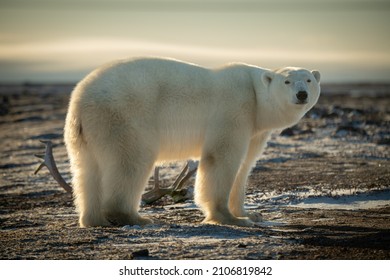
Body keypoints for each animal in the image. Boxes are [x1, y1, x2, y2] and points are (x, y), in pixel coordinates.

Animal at [63, 57, 320, 228]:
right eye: (287, 82)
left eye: (308, 79)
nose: (302, 94)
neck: (256, 96)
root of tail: (79, 100)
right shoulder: (235, 108)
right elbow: (221, 157)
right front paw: (229, 217)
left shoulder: (255, 129)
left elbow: (245, 166)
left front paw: (250, 214)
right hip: (123, 116)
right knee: (131, 161)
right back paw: (136, 217)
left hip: (88, 132)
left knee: (87, 171)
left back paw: (94, 219)